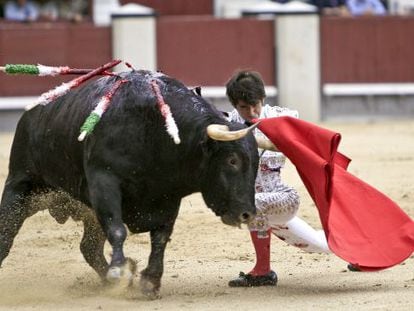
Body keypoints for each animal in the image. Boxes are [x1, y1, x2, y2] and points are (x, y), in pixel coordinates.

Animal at [0, 69, 258, 298]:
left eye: (256, 162)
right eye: (232, 160)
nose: (247, 214)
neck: (157, 131)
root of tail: (33, 111)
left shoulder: (167, 195)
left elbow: (161, 237)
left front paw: (149, 281)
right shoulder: (104, 183)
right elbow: (117, 229)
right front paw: (119, 270)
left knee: (89, 247)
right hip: (20, 186)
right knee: (6, 235)